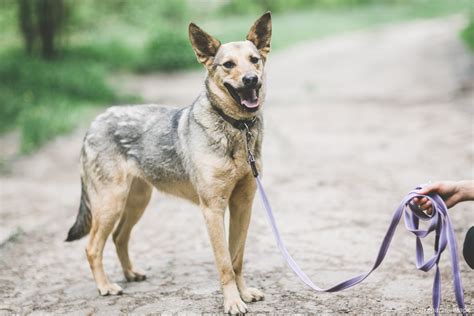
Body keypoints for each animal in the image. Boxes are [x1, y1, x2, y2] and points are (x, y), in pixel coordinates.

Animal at [67, 11, 274, 314]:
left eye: (254, 59)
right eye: (228, 65)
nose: (251, 80)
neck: (236, 128)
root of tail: (95, 122)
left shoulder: (242, 205)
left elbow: (236, 257)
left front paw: (244, 293)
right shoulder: (213, 209)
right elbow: (224, 262)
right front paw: (232, 301)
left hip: (137, 201)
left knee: (119, 237)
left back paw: (130, 273)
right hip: (110, 203)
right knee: (93, 246)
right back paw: (106, 286)